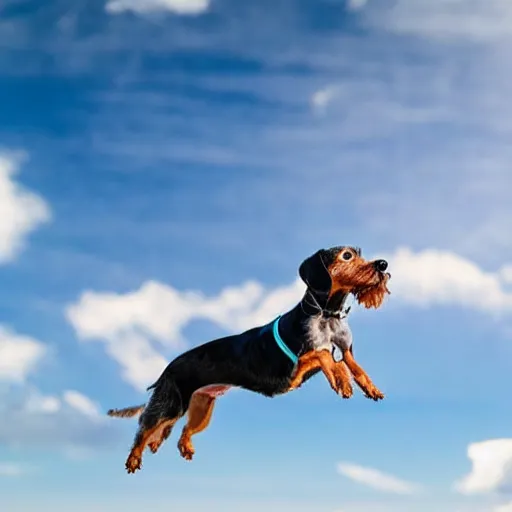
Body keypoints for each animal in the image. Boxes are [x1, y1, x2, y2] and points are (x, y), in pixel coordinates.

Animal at [107, 246, 388, 474]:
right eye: (347, 255)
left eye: (359, 252)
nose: (383, 264)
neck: (327, 315)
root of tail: (166, 369)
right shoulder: (287, 375)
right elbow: (324, 355)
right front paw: (342, 381)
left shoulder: (344, 349)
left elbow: (352, 364)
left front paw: (370, 387)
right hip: (172, 404)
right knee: (144, 428)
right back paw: (133, 460)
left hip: (201, 408)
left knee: (180, 431)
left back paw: (181, 448)